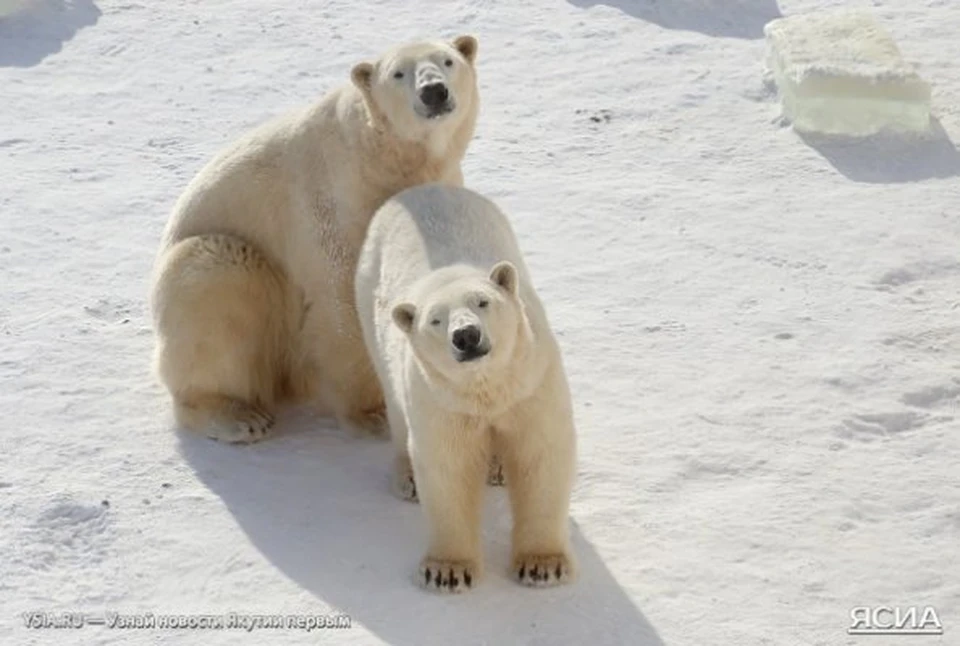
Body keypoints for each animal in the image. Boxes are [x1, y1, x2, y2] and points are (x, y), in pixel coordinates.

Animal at [150, 36, 480, 446]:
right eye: (398, 73)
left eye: (447, 60)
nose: (433, 91)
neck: (385, 159)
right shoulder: (336, 200)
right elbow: (341, 297)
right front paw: (374, 414)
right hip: (213, 265)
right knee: (222, 290)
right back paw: (239, 416)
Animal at [354, 185, 572, 596]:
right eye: (435, 320)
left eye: (482, 302)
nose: (466, 336)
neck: (487, 388)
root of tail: (419, 190)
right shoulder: (441, 402)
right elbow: (448, 467)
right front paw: (447, 572)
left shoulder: (531, 384)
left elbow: (539, 453)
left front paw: (543, 566)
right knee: (396, 412)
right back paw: (408, 479)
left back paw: (498, 468)